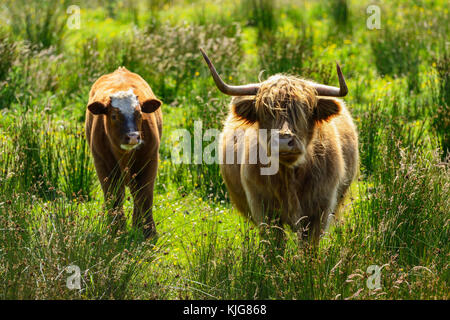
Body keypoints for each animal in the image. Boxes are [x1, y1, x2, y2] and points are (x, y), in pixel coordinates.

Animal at [85, 66, 163, 239]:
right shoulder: (103, 165)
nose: (133, 136)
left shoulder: (149, 161)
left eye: (140, 114)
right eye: (114, 116)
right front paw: (116, 230)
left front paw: (147, 231)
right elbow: (113, 197)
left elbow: (144, 196)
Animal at [200, 48, 358, 245]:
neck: (289, 175)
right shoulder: (263, 209)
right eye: (265, 112)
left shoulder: (320, 209)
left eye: (304, 110)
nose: (283, 141)